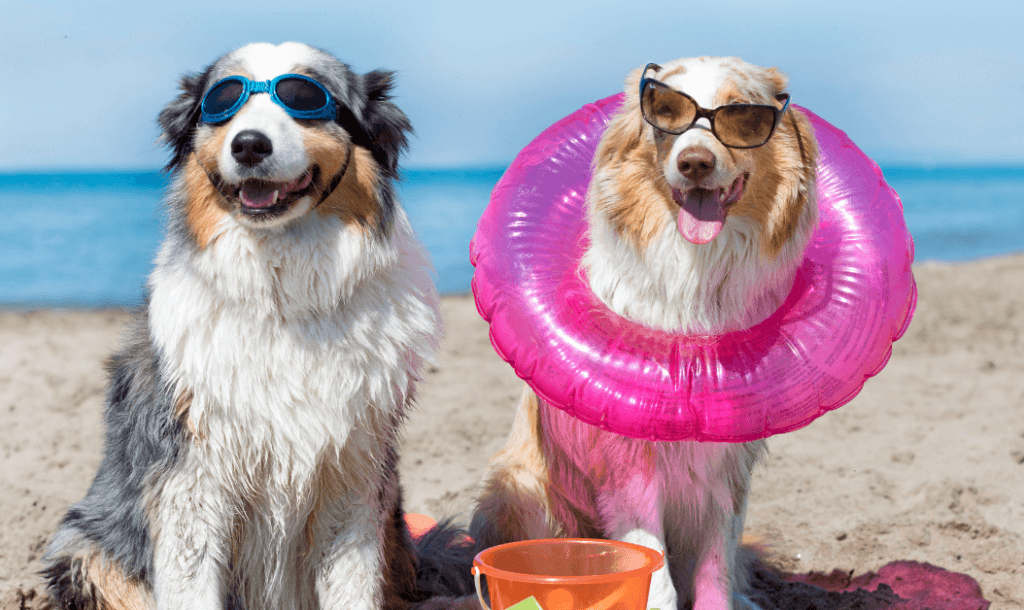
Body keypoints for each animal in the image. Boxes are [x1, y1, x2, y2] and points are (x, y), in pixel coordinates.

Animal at [43, 42, 452, 610]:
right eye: (223, 102)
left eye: (304, 97)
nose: (250, 145)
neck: (283, 292)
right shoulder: (191, 476)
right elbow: (190, 586)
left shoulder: (351, 469)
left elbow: (352, 585)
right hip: (85, 544)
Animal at [468, 54, 819, 605]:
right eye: (666, 112)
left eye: (741, 115)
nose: (694, 163)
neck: (696, 272)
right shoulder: (630, 464)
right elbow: (651, 567)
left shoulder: (728, 468)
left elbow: (716, 564)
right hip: (520, 489)